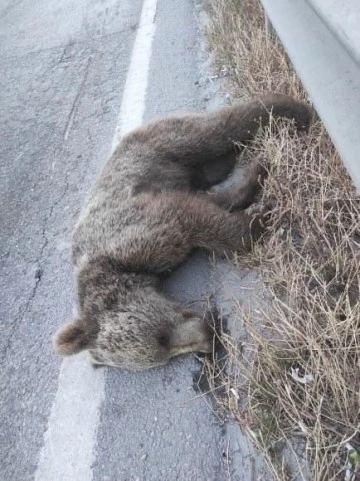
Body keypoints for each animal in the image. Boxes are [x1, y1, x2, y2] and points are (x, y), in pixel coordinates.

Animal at [52, 94, 310, 372]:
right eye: (164, 356)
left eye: (161, 338)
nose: (209, 339)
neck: (119, 269)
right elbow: (212, 202)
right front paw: (253, 194)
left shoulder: (137, 231)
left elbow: (197, 219)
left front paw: (256, 215)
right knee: (210, 166)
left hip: (161, 146)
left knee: (216, 130)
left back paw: (292, 110)